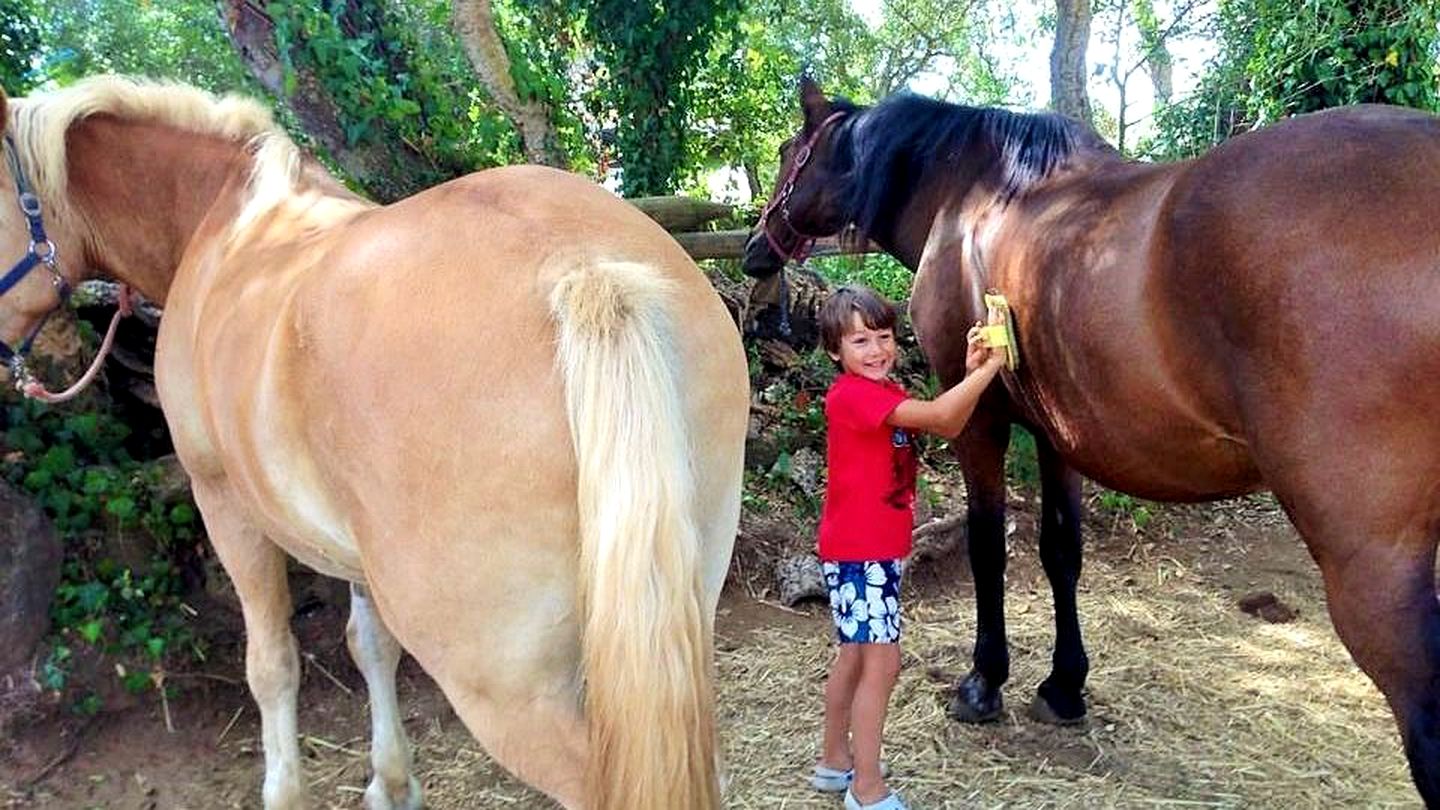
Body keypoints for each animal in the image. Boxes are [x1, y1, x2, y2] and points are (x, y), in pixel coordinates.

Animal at [5, 77, 754, 807]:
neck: (225, 228)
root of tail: (581, 269)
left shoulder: (222, 503)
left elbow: (272, 664)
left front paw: (286, 791)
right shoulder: (353, 549)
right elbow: (368, 646)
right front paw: (391, 783)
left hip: (515, 694)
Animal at [748, 78, 1440, 801]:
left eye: (788, 151)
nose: (754, 249)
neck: (976, 197)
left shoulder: (977, 420)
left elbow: (988, 547)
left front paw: (983, 683)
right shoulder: (1058, 435)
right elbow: (1061, 552)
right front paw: (1063, 686)